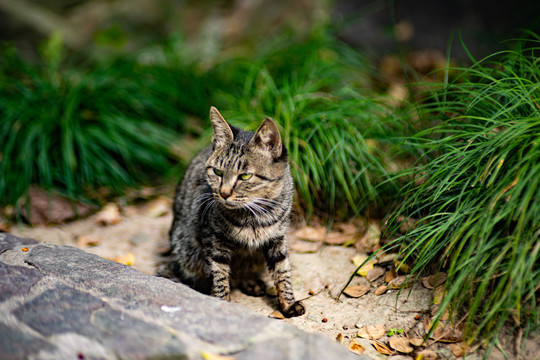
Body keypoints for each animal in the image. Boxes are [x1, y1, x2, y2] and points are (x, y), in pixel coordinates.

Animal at [165, 105, 304, 316]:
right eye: (217, 172)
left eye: (245, 176)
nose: (224, 193)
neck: (254, 217)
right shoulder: (214, 240)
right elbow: (220, 276)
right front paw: (221, 302)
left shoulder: (277, 238)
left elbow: (283, 271)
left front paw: (288, 303)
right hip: (185, 252)